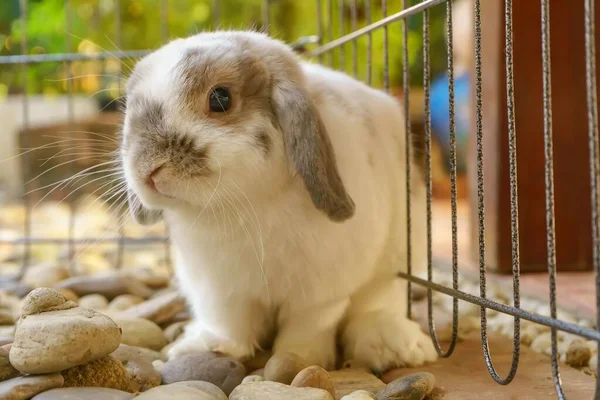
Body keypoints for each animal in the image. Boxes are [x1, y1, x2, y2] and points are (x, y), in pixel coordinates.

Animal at [120, 31, 436, 372]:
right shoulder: (219, 290)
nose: (148, 170)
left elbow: (311, 324)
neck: (243, 205)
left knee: (378, 305)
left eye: (220, 99)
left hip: (392, 268)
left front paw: (299, 358)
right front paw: (210, 347)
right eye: (129, 106)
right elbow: (228, 322)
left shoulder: (321, 292)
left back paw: (392, 345)